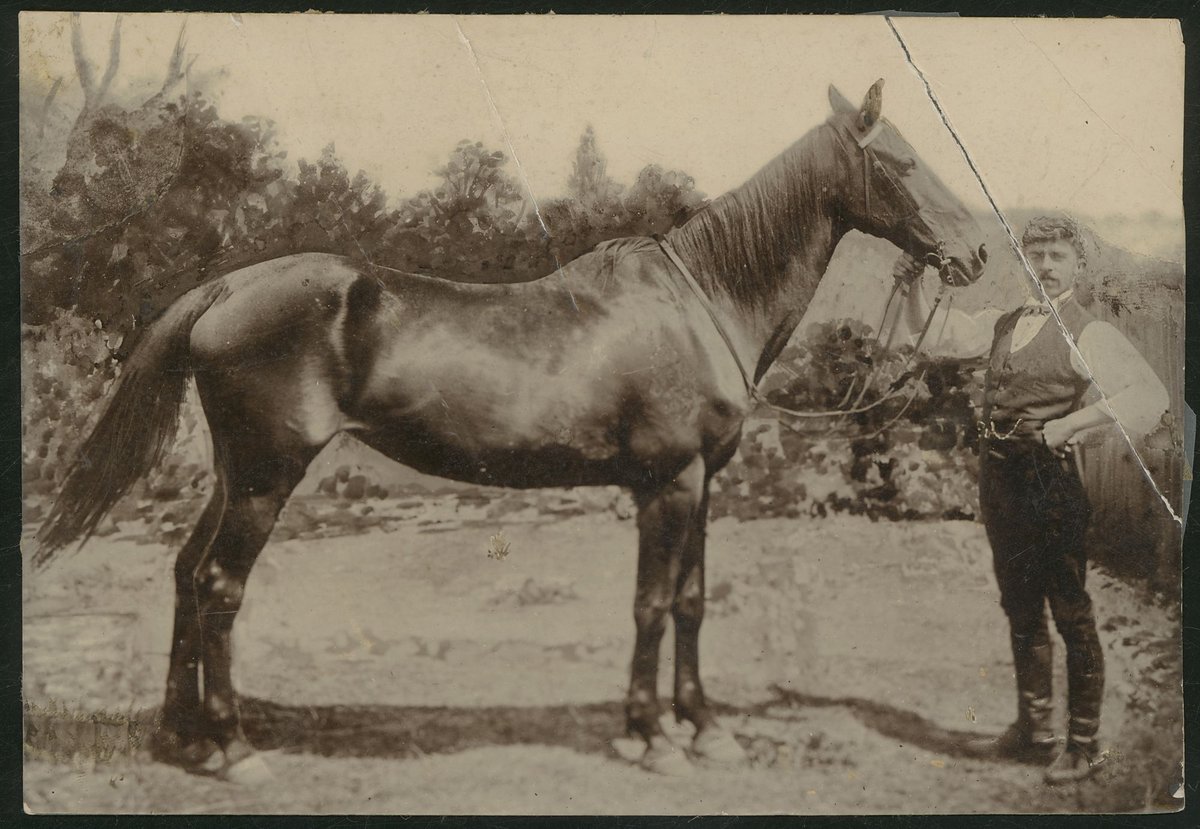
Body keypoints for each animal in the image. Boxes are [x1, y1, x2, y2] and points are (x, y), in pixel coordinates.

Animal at [36, 80, 987, 780]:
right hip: (269, 476)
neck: (702, 304)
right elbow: (650, 603)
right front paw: (649, 735)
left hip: (236, 475)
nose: (976, 254)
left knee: (184, 572)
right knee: (220, 586)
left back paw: (180, 736)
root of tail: (226, 288)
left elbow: (690, 602)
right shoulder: (668, 482)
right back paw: (233, 747)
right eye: (901, 162)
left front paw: (704, 727)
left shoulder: (706, 482)